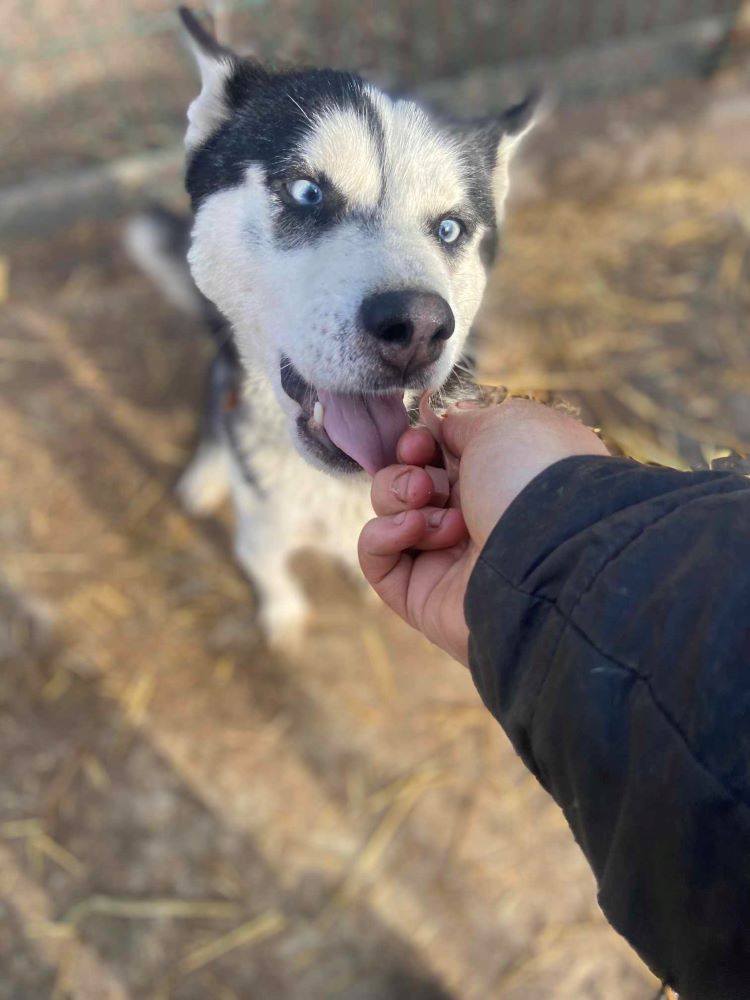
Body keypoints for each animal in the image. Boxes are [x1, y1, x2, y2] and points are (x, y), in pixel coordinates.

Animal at [128, 9, 536, 648]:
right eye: (307, 192)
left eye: (449, 228)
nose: (418, 326)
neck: (334, 492)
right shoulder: (262, 532)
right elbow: (269, 573)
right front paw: (284, 618)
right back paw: (206, 475)